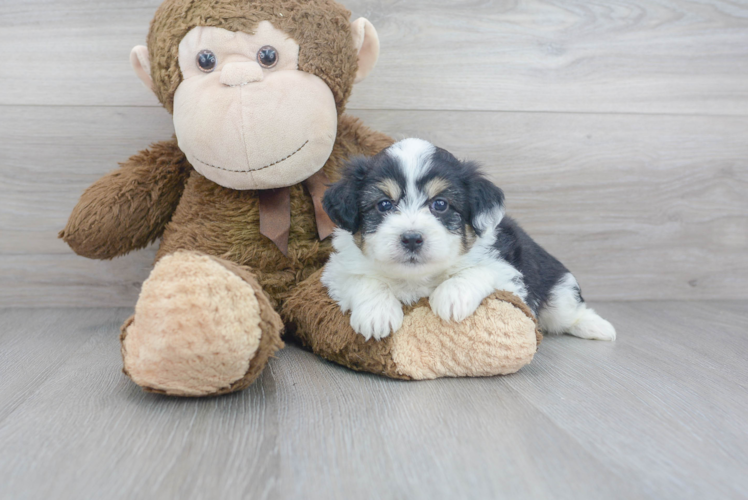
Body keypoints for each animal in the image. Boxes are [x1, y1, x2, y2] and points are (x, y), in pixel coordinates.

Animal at [318, 139, 616, 342]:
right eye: (383, 205)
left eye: (440, 204)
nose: (412, 239)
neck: (416, 277)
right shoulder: (337, 270)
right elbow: (364, 280)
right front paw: (377, 313)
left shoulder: (507, 269)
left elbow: (478, 270)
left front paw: (452, 297)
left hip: (556, 291)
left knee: (568, 312)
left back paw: (598, 327)